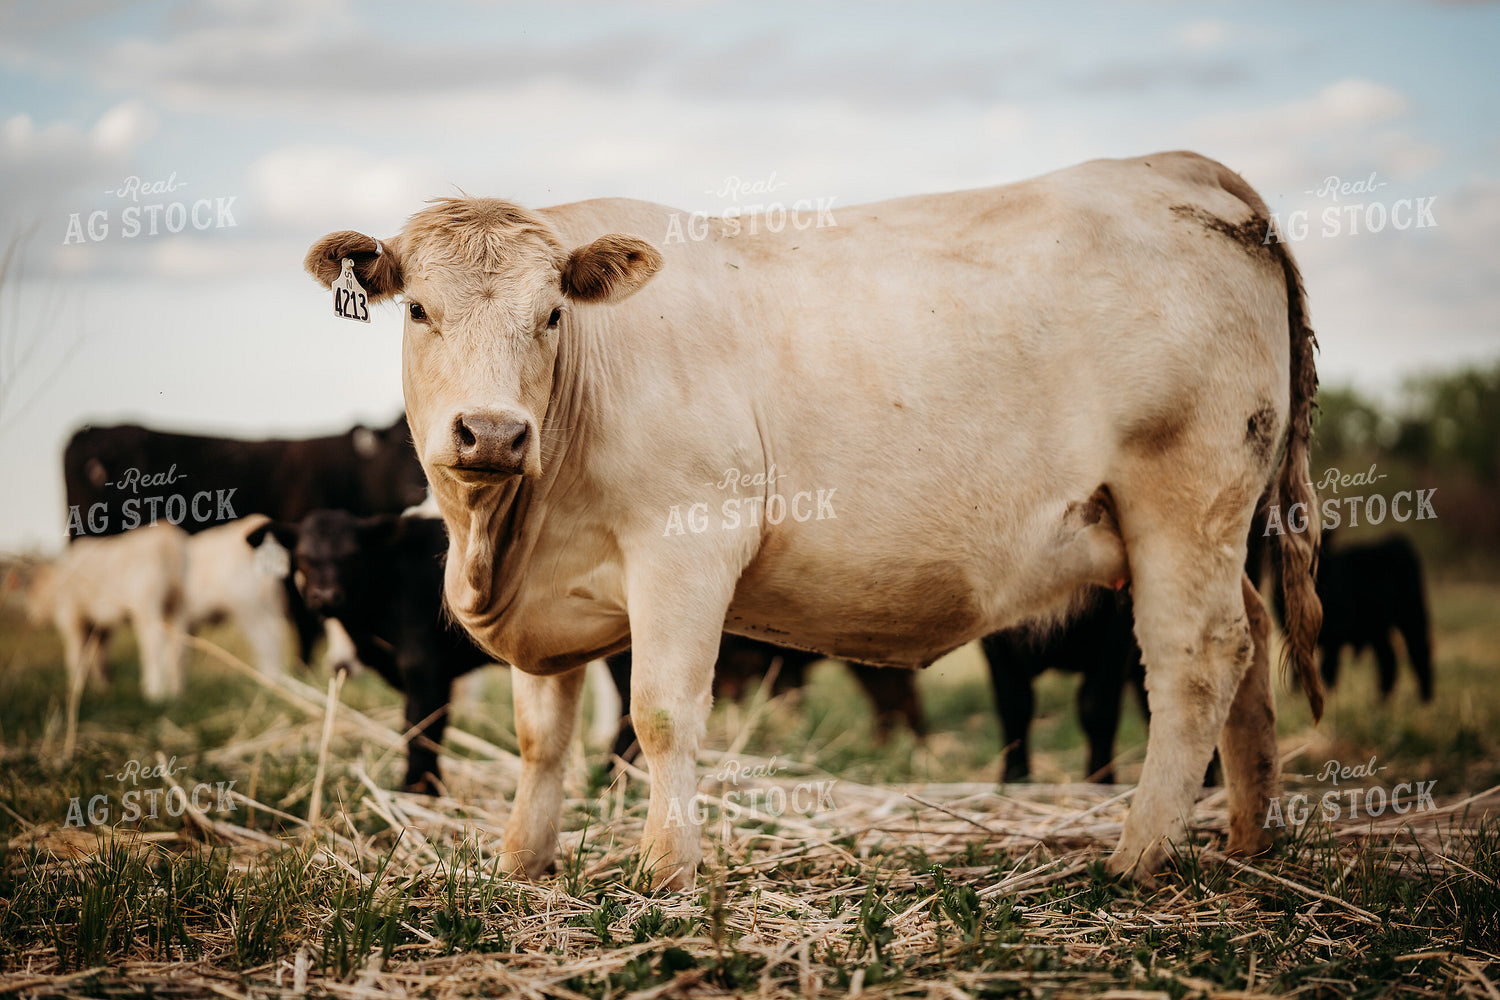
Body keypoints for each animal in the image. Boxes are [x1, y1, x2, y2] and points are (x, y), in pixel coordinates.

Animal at [304, 149, 1323, 888]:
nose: (493, 431)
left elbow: (661, 713)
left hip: (1181, 503)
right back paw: (1248, 841)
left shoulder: (686, 546)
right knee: (1248, 649)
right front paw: (521, 863)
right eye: (419, 310)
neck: (504, 535)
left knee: (1197, 660)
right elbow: (539, 736)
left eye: (553, 314)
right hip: (1212, 530)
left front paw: (664, 873)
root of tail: (1178, 166)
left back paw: (1138, 856)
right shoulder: (549, 594)